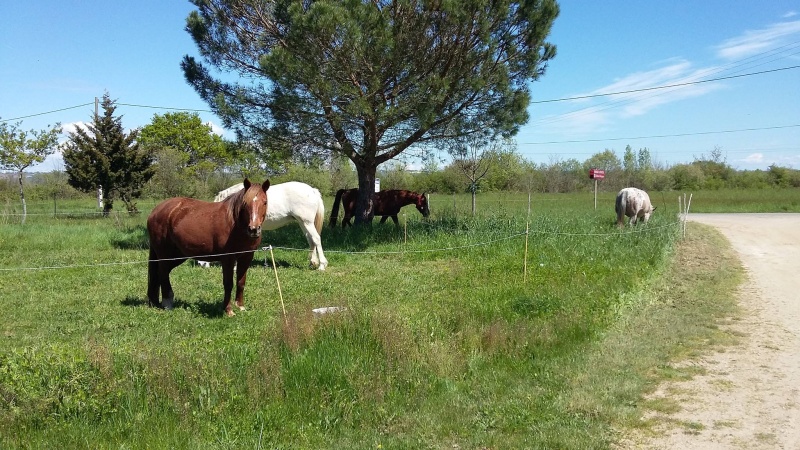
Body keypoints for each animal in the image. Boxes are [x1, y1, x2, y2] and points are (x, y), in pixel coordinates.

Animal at [149, 178, 272, 316]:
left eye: (265, 202)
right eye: (245, 203)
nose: (254, 229)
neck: (235, 223)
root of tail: (156, 210)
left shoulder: (246, 257)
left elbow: (241, 282)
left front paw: (240, 307)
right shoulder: (227, 259)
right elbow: (228, 284)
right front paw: (228, 310)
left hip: (178, 256)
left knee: (161, 274)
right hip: (165, 255)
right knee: (163, 273)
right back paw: (167, 304)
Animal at [198, 180, 326, 270]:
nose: (201, 264)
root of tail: (312, 190)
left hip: (307, 222)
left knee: (316, 238)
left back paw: (322, 265)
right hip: (303, 222)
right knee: (310, 239)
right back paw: (313, 262)